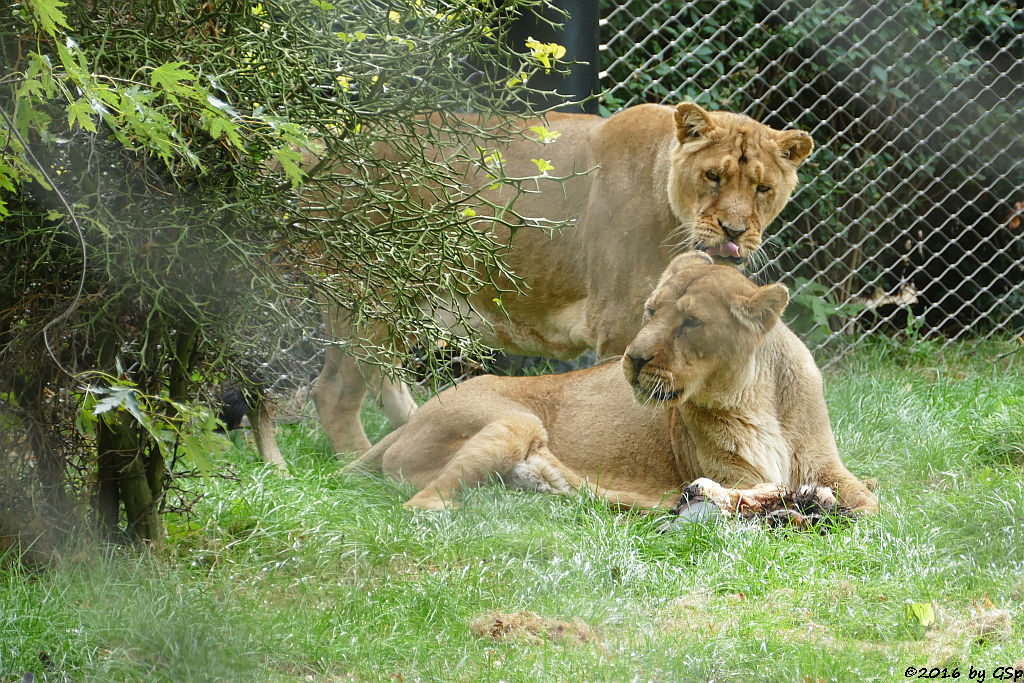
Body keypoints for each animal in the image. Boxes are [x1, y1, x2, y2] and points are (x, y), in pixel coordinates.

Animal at [348, 250, 876, 511]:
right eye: (651, 311)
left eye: (691, 323)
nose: (633, 358)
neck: (756, 398)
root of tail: (409, 423)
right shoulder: (734, 473)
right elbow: (757, 490)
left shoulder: (826, 463)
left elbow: (869, 500)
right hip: (515, 420)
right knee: (421, 504)